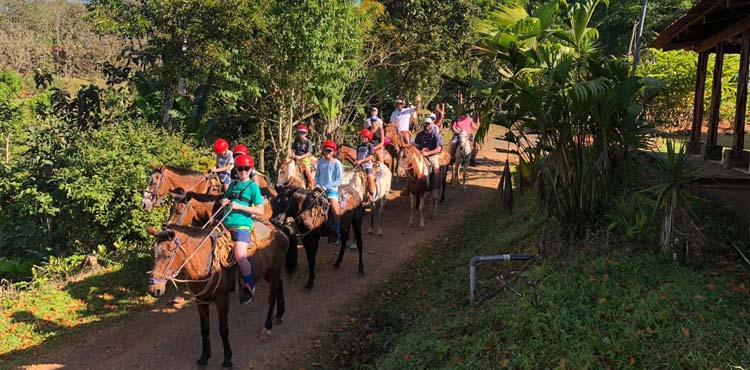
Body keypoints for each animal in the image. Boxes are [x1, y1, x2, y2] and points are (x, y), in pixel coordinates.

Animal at [148, 221, 298, 368]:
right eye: (153, 255)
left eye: (167, 256)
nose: (154, 290)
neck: (205, 261)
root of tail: (279, 228)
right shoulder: (200, 300)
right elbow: (204, 328)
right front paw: (204, 358)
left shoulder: (221, 298)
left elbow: (223, 329)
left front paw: (227, 360)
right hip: (267, 272)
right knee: (280, 284)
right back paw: (279, 314)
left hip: (274, 269)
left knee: (271, 297)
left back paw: (267, 328)